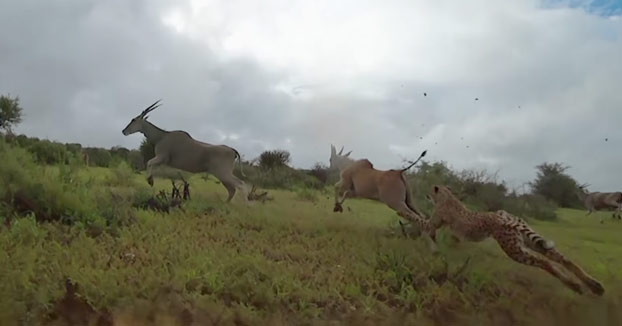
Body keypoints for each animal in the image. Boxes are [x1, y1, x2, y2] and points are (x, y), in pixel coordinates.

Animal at [426, 186, 608, 296]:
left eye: (431, 192)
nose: (427, 195)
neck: (447, 195)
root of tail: (503, 215)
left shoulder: (436, 221)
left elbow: (428, 226)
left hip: (513, 249)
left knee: (544, 262)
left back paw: (575, 286)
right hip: (529, 241)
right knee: (562, 259)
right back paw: (594, 286)